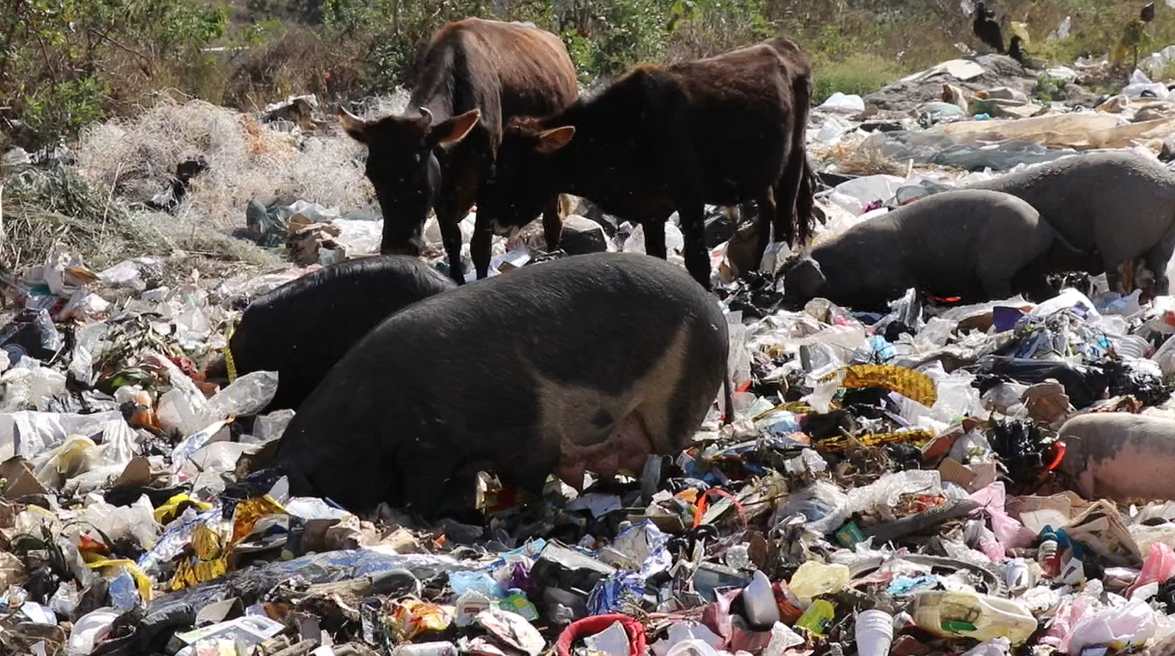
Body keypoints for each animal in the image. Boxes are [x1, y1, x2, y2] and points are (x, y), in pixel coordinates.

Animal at [338, 18, 578, 283]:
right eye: (371, 175)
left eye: (418, 170)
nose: (397, 246)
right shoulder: (442, 195)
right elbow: (452, 242)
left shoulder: (488, 187)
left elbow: (480, 248)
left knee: (552, 220)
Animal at [475, 36, 816, 288]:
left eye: (514, 168)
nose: (492, 220)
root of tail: (783, 44)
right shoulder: (651, 211)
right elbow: (657, 258)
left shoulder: (689, 198)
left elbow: (697, 261)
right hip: (761, 172)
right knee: (768, 211)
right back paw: (756, 270)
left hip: (793, 159)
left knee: (785, 221)